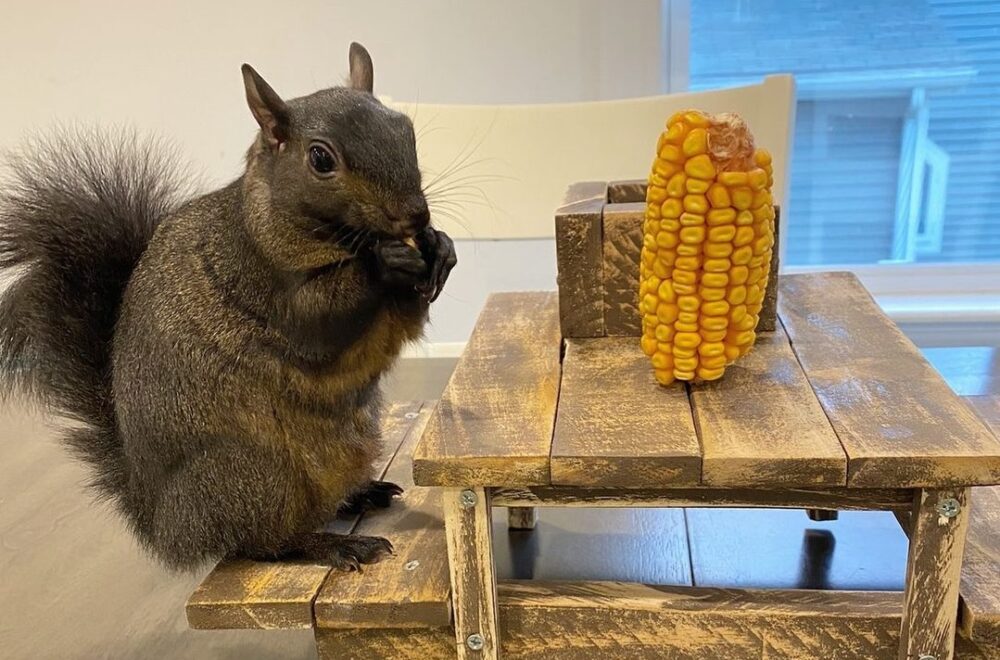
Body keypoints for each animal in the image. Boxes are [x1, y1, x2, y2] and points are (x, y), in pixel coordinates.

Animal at [0, 43, 457, 571]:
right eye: (320, 158)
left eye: (405, 128)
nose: (415, 215)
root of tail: (164, 524)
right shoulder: (257, 275)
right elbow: (317, 320)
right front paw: (386, 261)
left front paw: (440, 248)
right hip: (254, 475)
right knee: (264, 542)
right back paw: (334, 543)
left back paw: (361, 494)